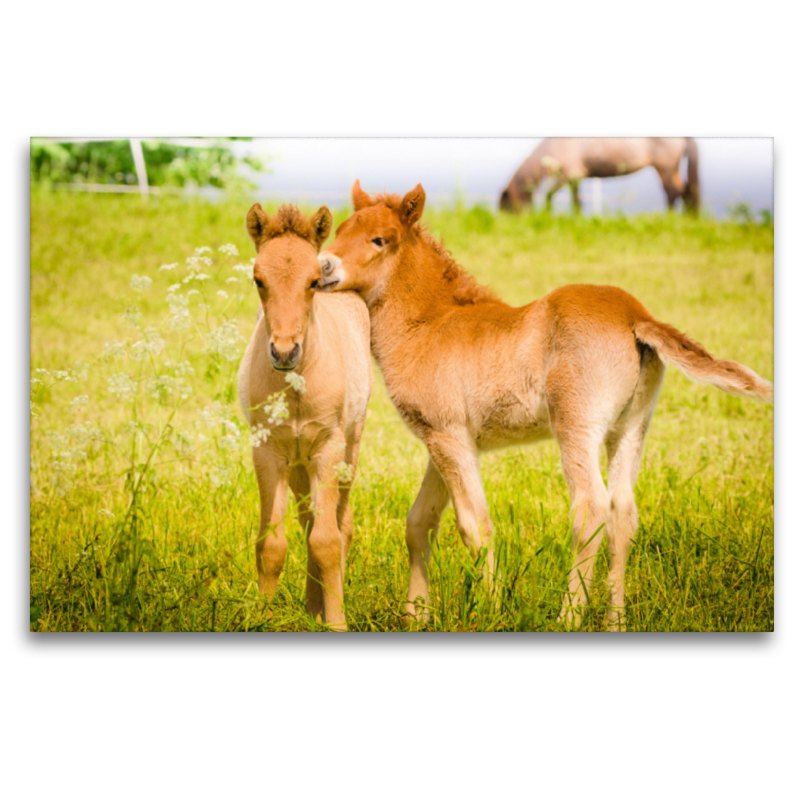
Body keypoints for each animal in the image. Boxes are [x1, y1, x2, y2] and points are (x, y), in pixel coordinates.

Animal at [239, 205, 374, 632]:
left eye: (313, 282)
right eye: (258, 279)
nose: (285, 351)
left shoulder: (328, 450)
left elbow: (328, 541)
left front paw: (337, 623)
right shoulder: (267, 453)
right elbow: (272, 544)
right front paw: (262, 618)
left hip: (348, 450)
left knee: (339, 525)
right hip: (298, 464)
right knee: (308, 521)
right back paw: (313, 607)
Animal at [316, 181, 772, 632]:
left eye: (379, 240)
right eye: (340, 229)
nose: (323, 266)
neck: (429, 324)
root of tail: (635, 315)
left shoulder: (447, 436)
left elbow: (474, 525)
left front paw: (491, 613)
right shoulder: (443, 440)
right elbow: (420, 522)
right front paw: (416, 615)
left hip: (576, 424)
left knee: (591, 509)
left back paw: (567, 617)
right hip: (631, 428)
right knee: (623, 513)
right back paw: (615, 621)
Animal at [500, 137, 700, 212]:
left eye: (506, 207)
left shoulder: (571, 174)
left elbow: (557, 197)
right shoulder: (572, 177)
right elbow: (571, 199)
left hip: (664, 167)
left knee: (673, 192)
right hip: (671, 168)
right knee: (686, 190)